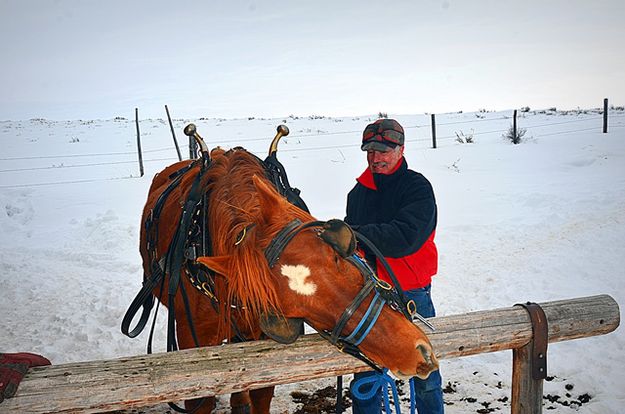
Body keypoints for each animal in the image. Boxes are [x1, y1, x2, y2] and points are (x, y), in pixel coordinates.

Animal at [124, 125, 436, 414]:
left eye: (337, 257)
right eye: (296, 308)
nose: (416, 354)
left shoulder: (260, 338)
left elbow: (260, 389)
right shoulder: (194, 341)